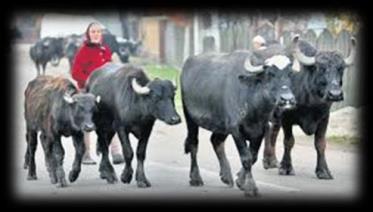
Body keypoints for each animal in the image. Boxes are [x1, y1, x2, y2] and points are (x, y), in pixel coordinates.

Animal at [180, 47, 296, 196]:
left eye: (290, 74)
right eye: (270, 74)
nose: (287, 99)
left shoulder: (259, 131)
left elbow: (253, 156)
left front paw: (241, 181)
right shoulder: (236, 130)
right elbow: (246, 158)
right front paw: (251, 187)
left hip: (222, 126)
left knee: (215, 141)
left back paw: (226, 176)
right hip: (190, 117)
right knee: (193, 143)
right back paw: (196, 178)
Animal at [262, 34, 354, 179]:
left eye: (341, 69)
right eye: (321, 68)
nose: (335, 94)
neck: (311, 103)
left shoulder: (324, 118)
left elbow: (320, 143)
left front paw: (323, 170)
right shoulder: (287, 117)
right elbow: (289, 141)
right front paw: (286, 167)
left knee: (273, 131)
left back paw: (272, 161)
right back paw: (267, 161)